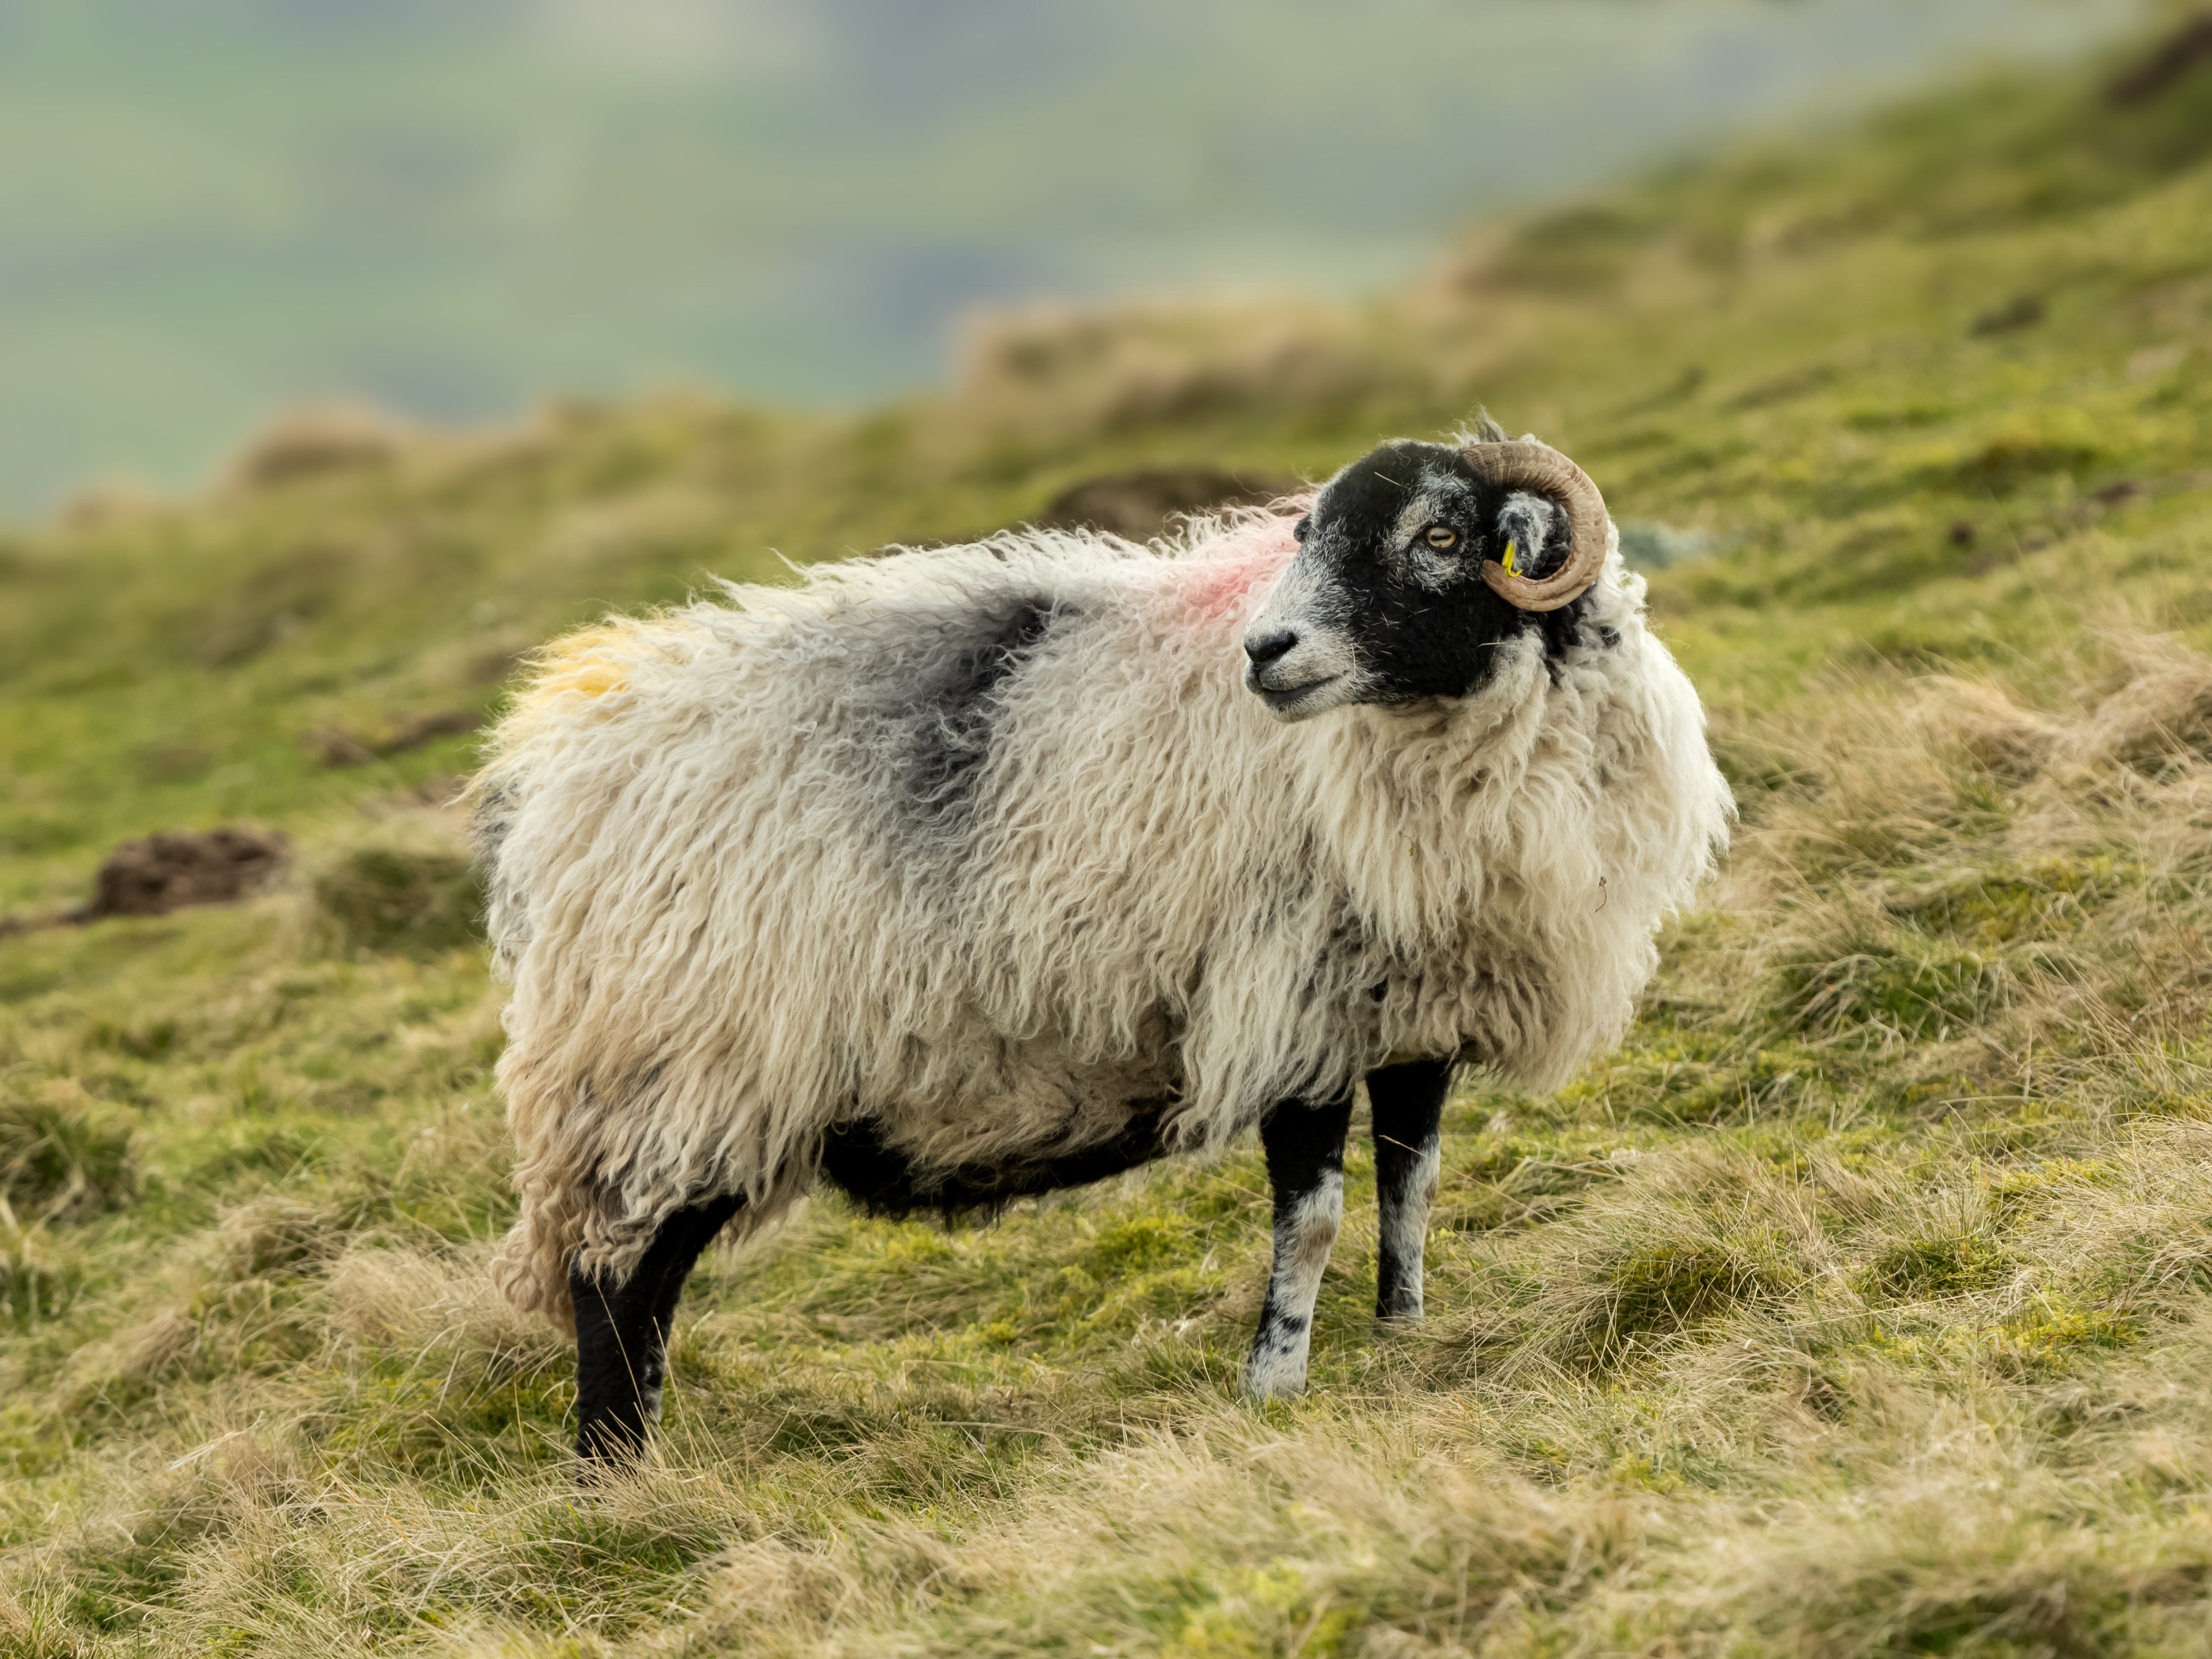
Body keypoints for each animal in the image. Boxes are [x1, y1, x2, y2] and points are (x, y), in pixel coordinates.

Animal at [467, 423, 1734, 1460]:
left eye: (1437, 533)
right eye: (1308, 533)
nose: (1266, 651)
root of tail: (551, 770)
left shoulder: (1409, 1011)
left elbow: (1409, 1188)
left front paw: (1402, 1335)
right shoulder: (1290, 1010)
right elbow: (1313, 1219)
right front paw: (1273, 1387)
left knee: (645, 1285)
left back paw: (639, 1457)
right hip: (670, 1067)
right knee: (611, 1278)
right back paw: (611, 1474)